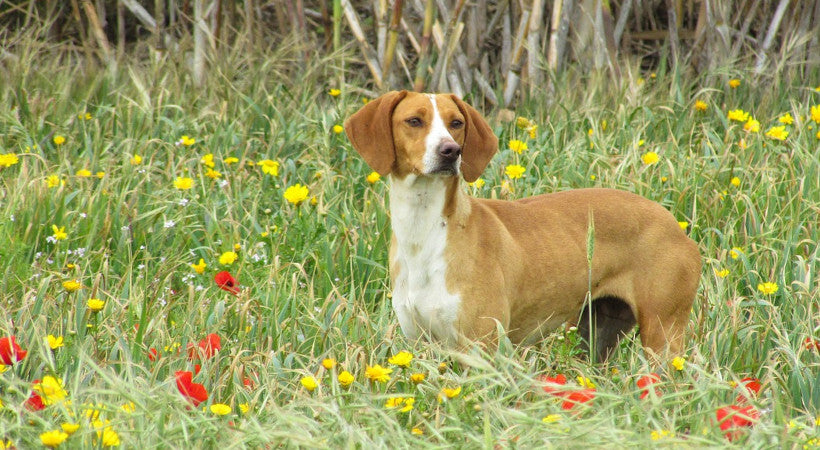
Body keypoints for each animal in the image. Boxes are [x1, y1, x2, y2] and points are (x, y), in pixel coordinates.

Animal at [342, 91, 700, 362]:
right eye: (414, 121)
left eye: (456, 123)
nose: (450, 151)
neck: (425, 232)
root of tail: (676, 225)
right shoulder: (422, 345)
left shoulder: (481, 348)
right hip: (596, 335)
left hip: (662, 336)